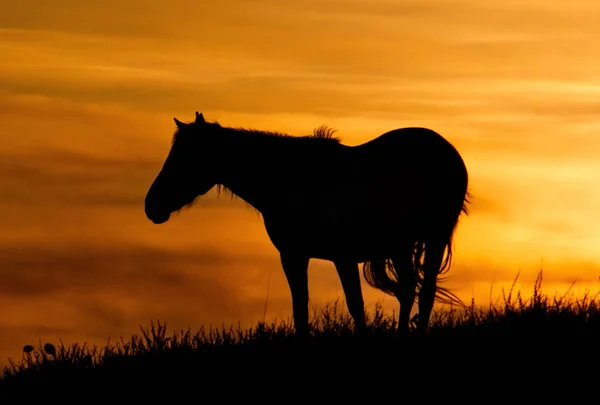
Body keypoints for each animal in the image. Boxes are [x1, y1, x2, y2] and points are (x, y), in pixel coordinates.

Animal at [144, 110, 468, 334]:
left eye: (185, 157)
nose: (151, 206)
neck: (295, 180)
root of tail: (447, 150)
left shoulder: (343, 256)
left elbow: (356, 306)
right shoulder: (293, 255)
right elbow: (300, 307)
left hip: (435, 238)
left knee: (424, 293)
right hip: (401, 246)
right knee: (409, 289)